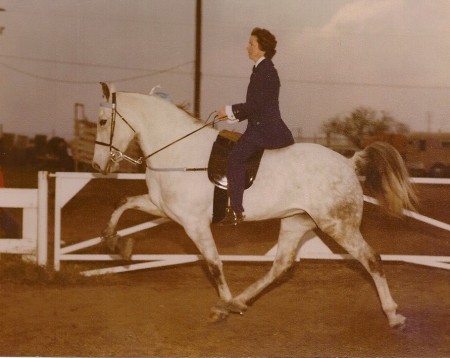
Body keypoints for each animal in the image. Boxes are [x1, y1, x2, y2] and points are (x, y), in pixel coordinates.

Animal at [92, 83, 418, 328]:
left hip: (338, 225)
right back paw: (239, 301)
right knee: (281, 266)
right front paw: (117, 244)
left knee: (371, 259)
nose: (96, 166)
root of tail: (350, 162)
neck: (178, 151)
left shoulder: (194, 223)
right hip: (297, 221)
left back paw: (393, 315)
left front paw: (221, 305)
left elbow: (214, 264)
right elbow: (123, 203)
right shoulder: (163, 209)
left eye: (102, 121)